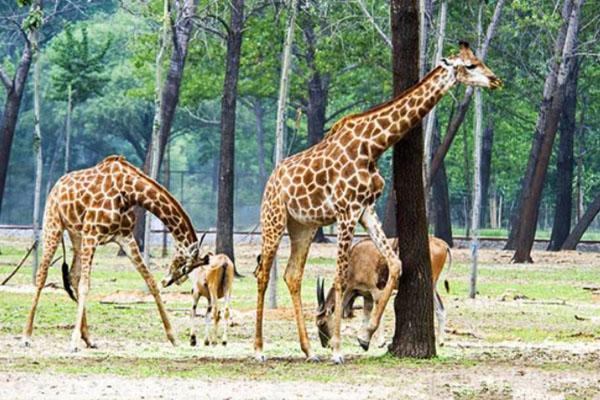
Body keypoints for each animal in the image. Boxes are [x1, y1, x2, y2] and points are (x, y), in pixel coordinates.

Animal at [21, 155, 209, 352]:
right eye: (185, 267)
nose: (170, 281)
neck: (130, 192)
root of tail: (56, 186)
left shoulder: (125, 237)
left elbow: (150, 281)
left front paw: (173, 337)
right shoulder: (92, 233)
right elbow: (85, 286)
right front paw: (73, 342)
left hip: (76, 235)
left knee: (73, 274)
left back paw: (89, 339)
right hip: (54, 224)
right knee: (43, 274)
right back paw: (26, 336)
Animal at [254, 41, 502, 366]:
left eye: (480, 60)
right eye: (470, 66)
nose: (495, 80)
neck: (372, 146)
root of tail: (271, 181)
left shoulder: (365, 210)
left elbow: (396, 264)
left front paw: (365, 336)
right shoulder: (346, 211)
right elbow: (340, 275)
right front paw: (338, 350)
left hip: (302, 227)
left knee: (292, 275)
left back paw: (308, 351)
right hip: (274, 219)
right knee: (262, 273)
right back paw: (259, 349)